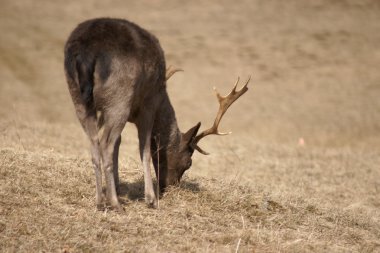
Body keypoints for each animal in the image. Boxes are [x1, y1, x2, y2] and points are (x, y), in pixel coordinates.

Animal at [63, 17, 249, 211]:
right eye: (189, 162)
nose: (170, 187)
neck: (162, 98)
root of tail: (87, 52)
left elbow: (119, 143)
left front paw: (118, 186)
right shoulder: (149, 104)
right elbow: (144, 148)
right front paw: (150, 198)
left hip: (78, 97)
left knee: (94, 143)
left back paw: (99, 201)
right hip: (119, 97)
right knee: (105, 144)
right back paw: (115, 203)